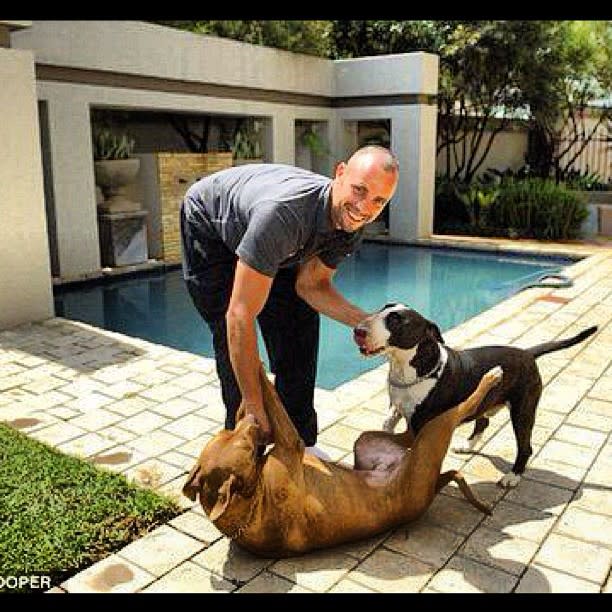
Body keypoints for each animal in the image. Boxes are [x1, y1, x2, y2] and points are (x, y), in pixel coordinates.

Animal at [183, 364, 502, 560]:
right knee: (458, 410)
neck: (250, 500)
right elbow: (270, 395)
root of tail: (431, 487)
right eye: (247, 448)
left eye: (228, 433)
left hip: (370, 440)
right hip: (432, 439)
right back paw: (490, 378)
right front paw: (260, 369)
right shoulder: (290, 441)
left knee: (411, 429)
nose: (252, 421)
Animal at [354, 304, 596, 488]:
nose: (358, 330)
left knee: (525, 446)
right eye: (383, 308)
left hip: (523, 410)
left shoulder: (421, 427)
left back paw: (512, 477)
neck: (410, 368)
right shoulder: (398, 406)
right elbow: (389, 421)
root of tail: (527, 353)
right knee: (483, 422)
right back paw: (468, 446)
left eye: (395, 320)